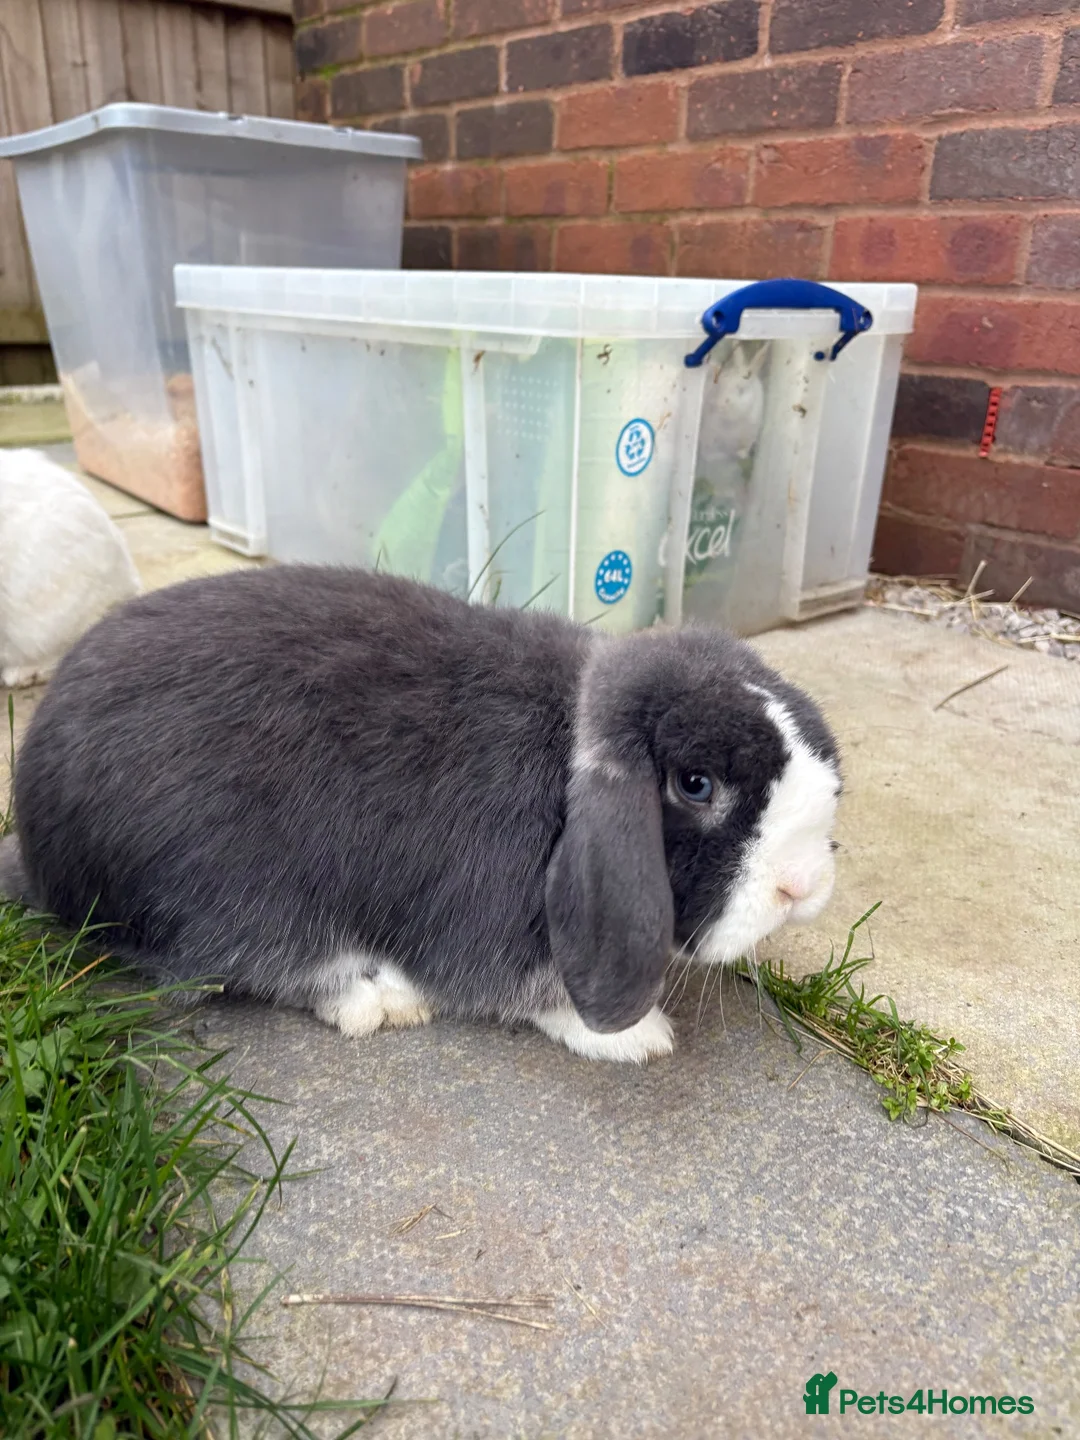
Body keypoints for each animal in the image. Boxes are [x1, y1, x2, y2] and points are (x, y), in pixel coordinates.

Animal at [3, 566, 841, 1064]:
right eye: (695, 784)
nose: (804, 887)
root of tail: (38, 848)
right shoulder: (488, 918)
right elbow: (532, 989)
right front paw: (639, 1037)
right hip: (227, 896)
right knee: (249, 966)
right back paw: (377, 999)